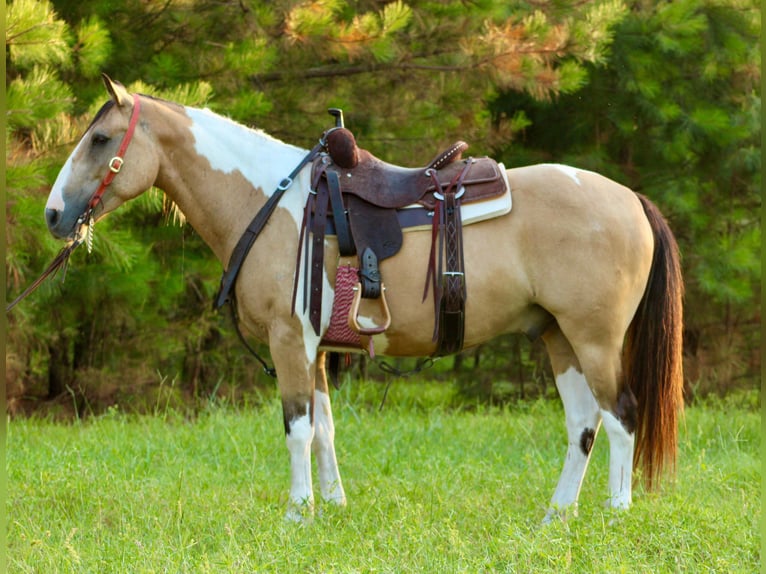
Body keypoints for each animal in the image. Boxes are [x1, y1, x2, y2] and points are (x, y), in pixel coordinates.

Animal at [45, 77, 688, 528]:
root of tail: (630, 199)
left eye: (100, 140)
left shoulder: (289, 340)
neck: (271, 203)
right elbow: (325, 430)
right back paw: (557, 515)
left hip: (593, 339)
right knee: (584, 425)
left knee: (621, 417)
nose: (53, 215)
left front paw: (297, 514)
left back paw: (616, 514)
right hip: (558, 337)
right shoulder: (316, 348)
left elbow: (297, 427)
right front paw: (332, 506)